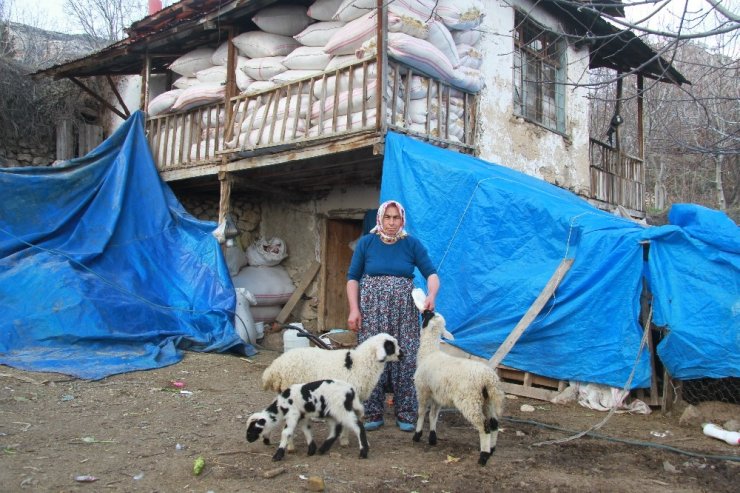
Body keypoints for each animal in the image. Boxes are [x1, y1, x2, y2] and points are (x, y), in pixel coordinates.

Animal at [414, 310, 506, 464]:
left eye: (429, 316)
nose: (427, 310)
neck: (429, 353)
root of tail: (489, 378)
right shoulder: (438, 395)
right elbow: (433, 415)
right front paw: (432, 438)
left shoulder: (423, 390)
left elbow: (421, 413)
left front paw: (417, 434)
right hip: (487, 402)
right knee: (494, 424)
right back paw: (492, 449)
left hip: (470, 401)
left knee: (484, 427)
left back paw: (483, 456)